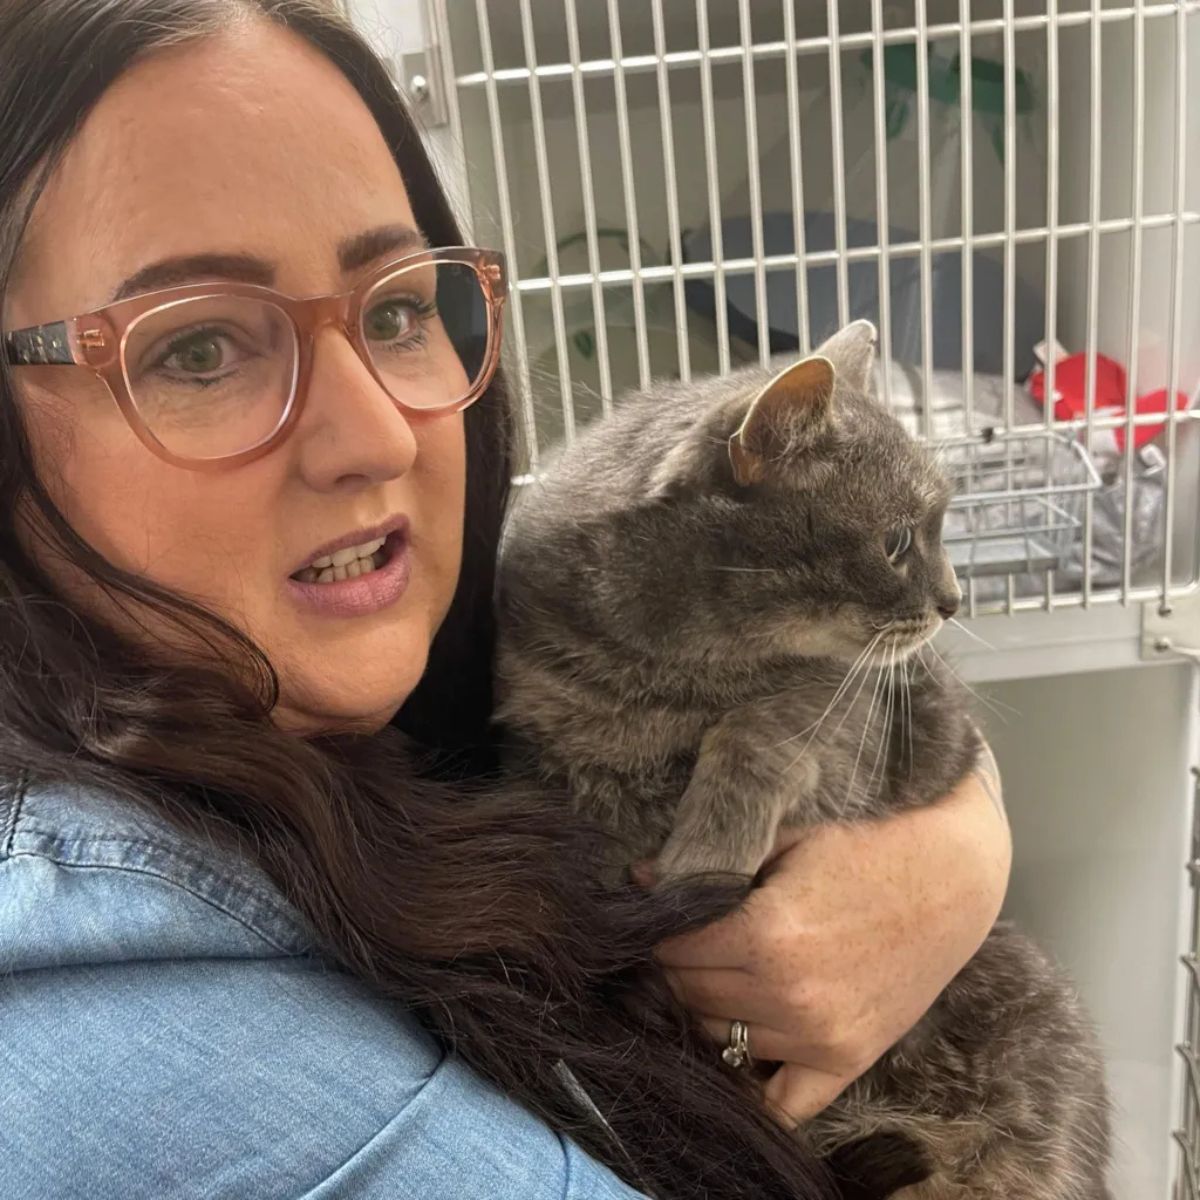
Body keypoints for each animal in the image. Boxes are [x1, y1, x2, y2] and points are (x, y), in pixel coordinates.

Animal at [492, 321, 1108, 1200]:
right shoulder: (538, 735)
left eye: (942, 527)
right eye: (897, 540)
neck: (663, 678)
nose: (954, 599)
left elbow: (763, 727)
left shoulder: (851, 725)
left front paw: (706, 853)